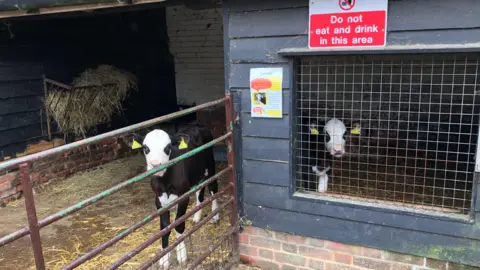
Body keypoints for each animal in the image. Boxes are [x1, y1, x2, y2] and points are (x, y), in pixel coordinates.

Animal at [124, 123, 220, 268]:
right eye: (146, 148)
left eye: (168, 147)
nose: (156, 164)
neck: (165, 181)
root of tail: (197, 124)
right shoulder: (159, 200)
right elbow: (165, 228)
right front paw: (164, 258)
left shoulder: (183, 196)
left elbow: (178, 225)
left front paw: (182, 255)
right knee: (200, 190)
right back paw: (197, 216)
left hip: (210, 165)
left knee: (213, 187)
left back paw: (215, 215)